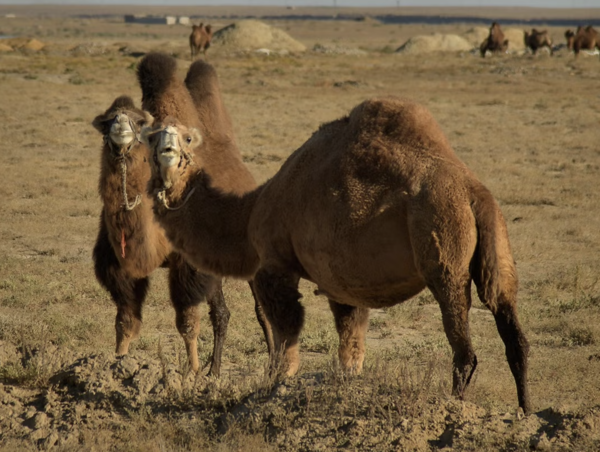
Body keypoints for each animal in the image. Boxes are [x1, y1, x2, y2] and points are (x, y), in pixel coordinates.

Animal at [139, 81, 528, 414]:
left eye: (188, 137)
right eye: (152, 136)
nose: (167, 150)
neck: (250, 213)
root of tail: (472, 191)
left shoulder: (275, 265)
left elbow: (287, 338)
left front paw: (274, 390)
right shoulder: (344, 284)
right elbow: (350, 345)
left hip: (443, 244)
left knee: (465, 350)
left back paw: (455, 408)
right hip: (497, 243)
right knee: (513, 331)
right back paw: (526, 413)